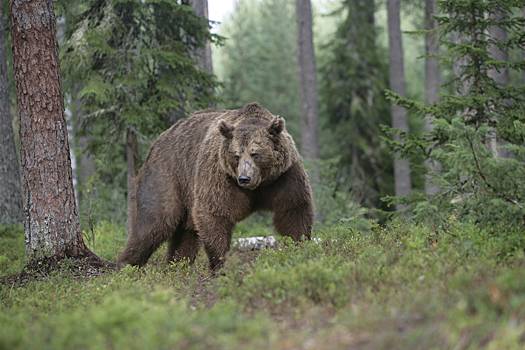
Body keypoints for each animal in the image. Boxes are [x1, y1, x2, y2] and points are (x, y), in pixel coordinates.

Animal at [118, 101, 314, 270]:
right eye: (236, 155)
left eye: (255, 153)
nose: (244, 178)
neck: (259, 184)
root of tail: (158, 140)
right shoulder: (220, 176)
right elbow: (215, 213)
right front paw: (219, 263)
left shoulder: (284, 176)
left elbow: (293, 209)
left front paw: (299, 246)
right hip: (166, 176)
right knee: (154, 223)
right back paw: (125, 265)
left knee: (185, 235)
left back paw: (177, 265)